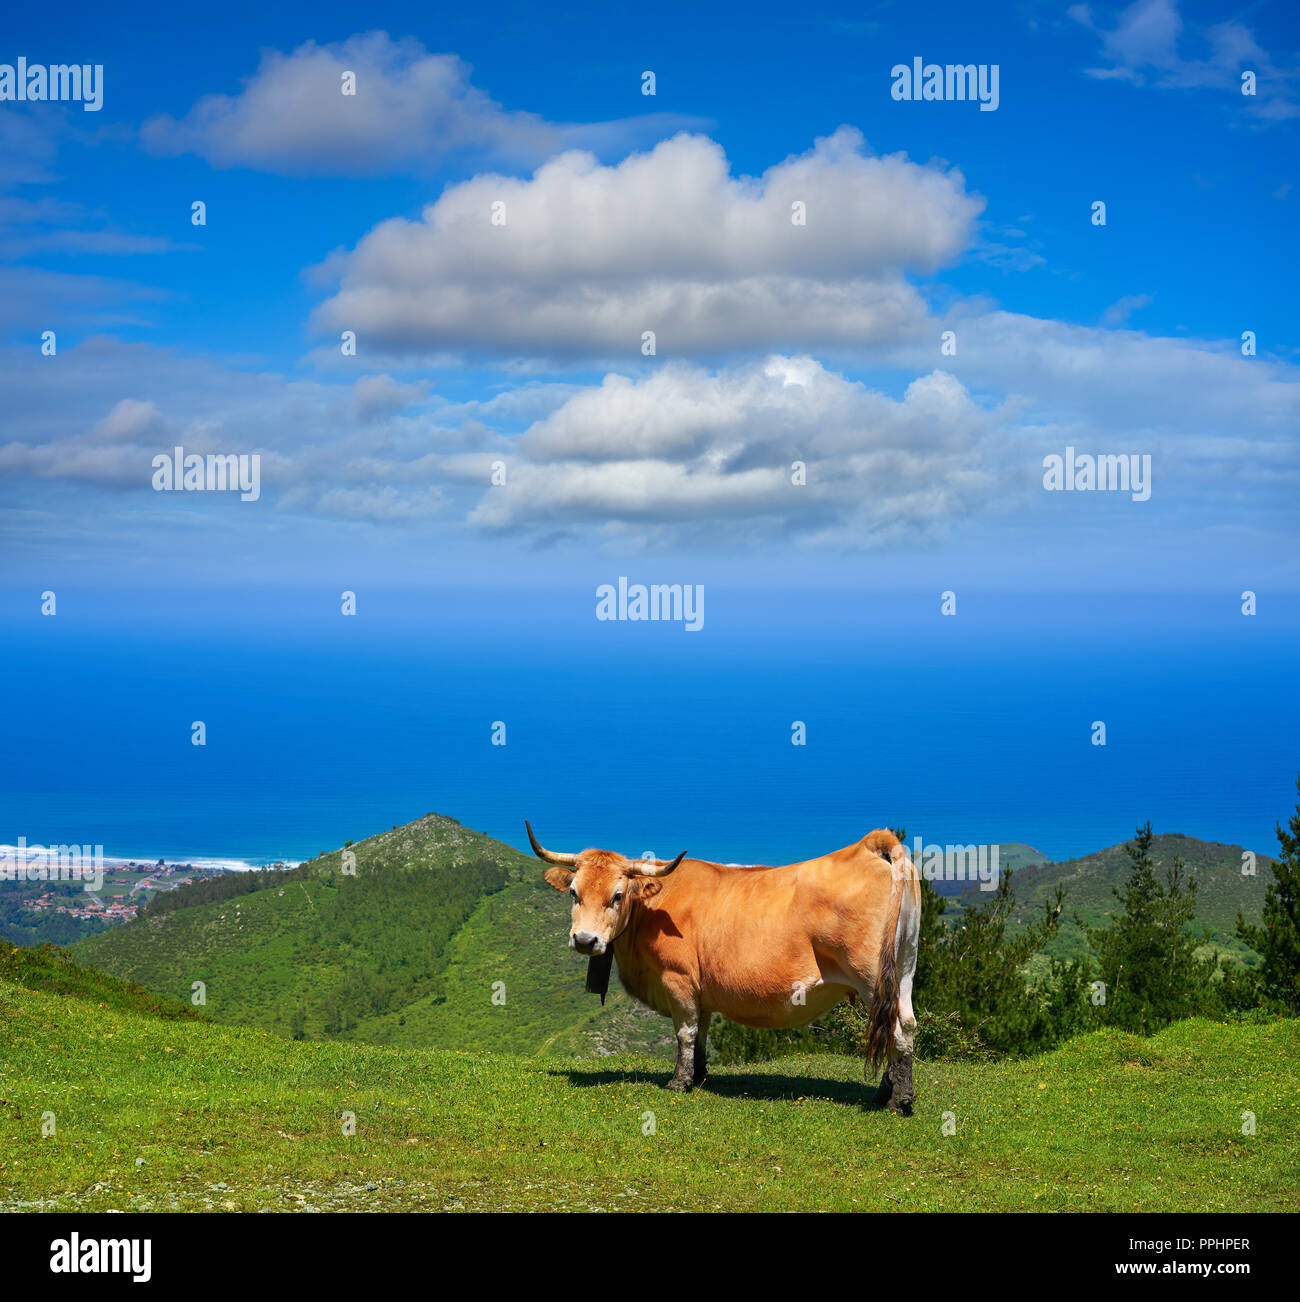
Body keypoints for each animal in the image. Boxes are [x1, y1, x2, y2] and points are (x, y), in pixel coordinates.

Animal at [525, 822, 922, 1114]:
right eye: (574, 892)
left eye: (617, 895)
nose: (585, 940)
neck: (652, 909)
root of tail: (868, 844)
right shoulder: (701, 990)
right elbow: (700, 1033)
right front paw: (700, 1076)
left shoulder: (678, 980)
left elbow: (685, 1033)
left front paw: (679, 1082)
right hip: (903, 970)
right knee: (905, 1024)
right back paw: (886, 1094)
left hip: (871, 976)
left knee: (895, 1028)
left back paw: (898, 1101)